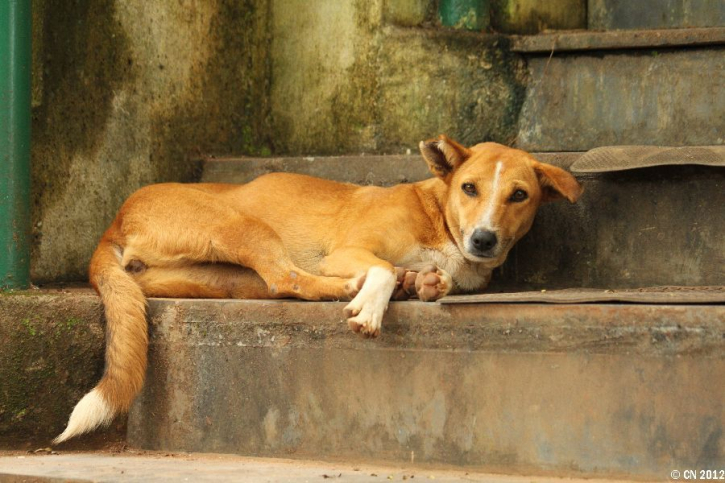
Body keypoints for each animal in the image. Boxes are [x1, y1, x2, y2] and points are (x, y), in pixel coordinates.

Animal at [53, 134, 580, 444]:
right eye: (469, 188)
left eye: (519, 195)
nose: (484, 240)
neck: (438, 219)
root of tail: (116, 221)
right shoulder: (348, 249)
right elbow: (382, 269)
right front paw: (373, 303)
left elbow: (424, 275)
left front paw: (424, 282)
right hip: (242, 225)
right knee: (290, 277)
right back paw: (356, 287)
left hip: (224, 274)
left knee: (278, 284)